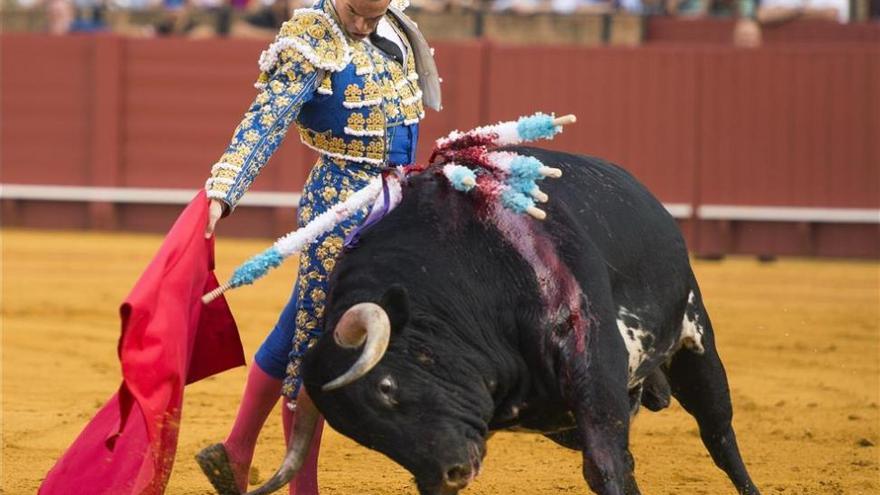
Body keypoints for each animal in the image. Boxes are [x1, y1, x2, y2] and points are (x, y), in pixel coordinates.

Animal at [246, 147, 756, 495]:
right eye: (359, 433)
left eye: (387, 388)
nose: (451, 474)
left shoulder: (591, 355)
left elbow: (607, 465)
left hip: (695, 335)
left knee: (718, 431)